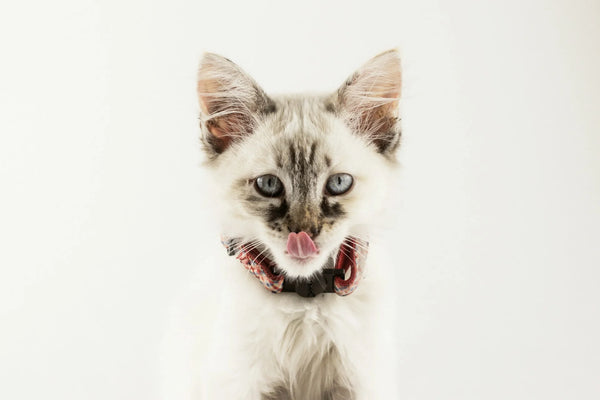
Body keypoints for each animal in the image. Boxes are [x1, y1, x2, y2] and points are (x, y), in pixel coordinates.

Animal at [163, 50, 404, 400]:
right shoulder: (235, 380)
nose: (303, 235)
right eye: (268, 185)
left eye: (339, 183)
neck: (305, 298)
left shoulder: (363, 381)